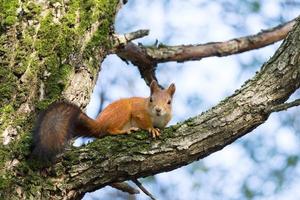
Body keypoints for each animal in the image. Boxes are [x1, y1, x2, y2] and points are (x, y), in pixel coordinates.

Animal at [32, 80, 176, 162]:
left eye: (169, 102)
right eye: (151, 99)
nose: (158, 109)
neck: (156, 117)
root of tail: (99, 123)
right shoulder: (138, 111)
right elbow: (144, 122)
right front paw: (151, 128)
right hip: (122, 111)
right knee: (109, 130)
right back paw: (123, 131)